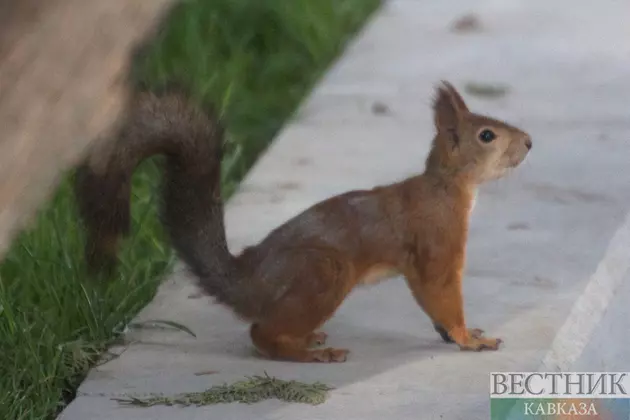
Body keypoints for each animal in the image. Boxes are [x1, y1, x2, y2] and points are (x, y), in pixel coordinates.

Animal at [76, 80, 536, 362]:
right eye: (487, 136)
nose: (530, 142)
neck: (448, 187)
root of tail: (250, 281)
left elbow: (434, 306)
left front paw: (456, 333)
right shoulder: (436, 244)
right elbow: (440, 295)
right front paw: (469, 338)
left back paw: (308, 339)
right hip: (324, 271)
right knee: (261, 335)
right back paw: (308, 352)